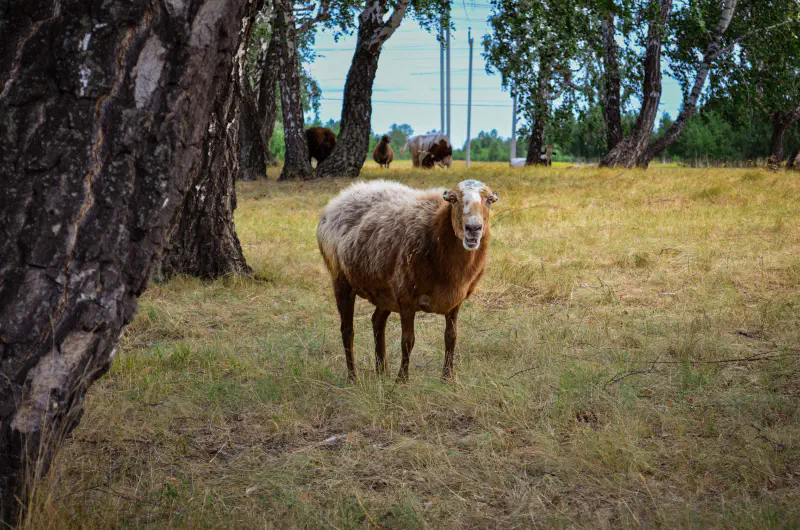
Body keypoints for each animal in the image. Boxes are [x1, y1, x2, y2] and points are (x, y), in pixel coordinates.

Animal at [317, 179, 499, 381]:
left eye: (489, 200)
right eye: (453, 199)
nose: (473, 229)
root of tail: (340, 197)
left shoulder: (455, 300)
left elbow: (451, 337)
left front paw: (447, 378)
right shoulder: (406, 298)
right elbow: (408, 341)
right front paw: (401, 381)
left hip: (385, 292)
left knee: (377, 321)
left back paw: (382, 372)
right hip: (342, 280)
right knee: (347, 330)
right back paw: (353, 377)